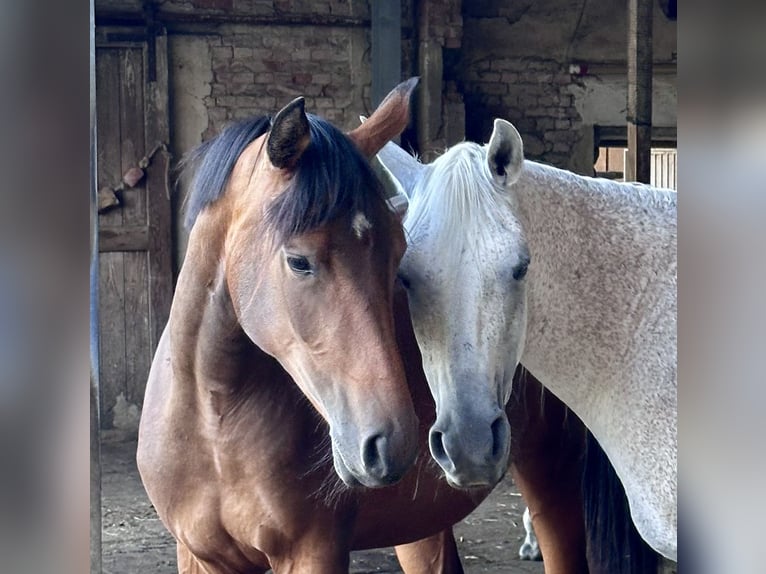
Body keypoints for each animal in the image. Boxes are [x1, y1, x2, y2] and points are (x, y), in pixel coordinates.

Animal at [138, 81, 496, 574]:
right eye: (299, 261)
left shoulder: (313, 552)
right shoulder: (198, 556)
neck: (212, 423)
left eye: (397, 253)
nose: (392, 443)